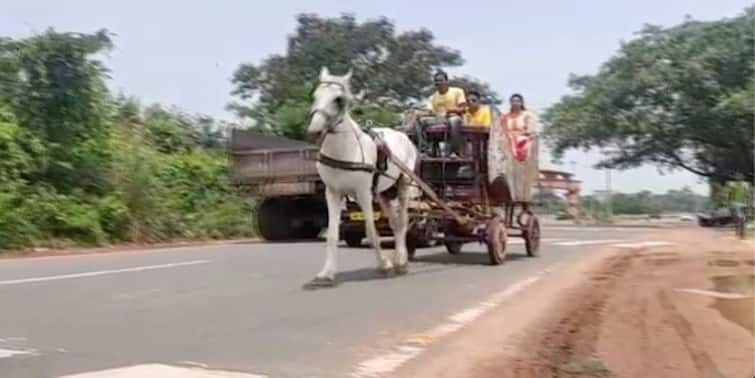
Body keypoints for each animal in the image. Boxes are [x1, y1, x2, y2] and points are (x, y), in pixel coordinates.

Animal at [304, 67, 416, 286]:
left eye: (338, 99)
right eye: (315, 96)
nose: (315, 131)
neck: (347, 151)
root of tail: (404, 136)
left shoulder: (363, 193)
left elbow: (372, 233)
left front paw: (385, 266)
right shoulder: (333, 193)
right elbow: (332, 235)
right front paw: (326, 274)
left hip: (404, 183)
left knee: (403, 221)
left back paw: (401, 261)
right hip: (384, 193)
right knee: (395, 223)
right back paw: (399, 260)